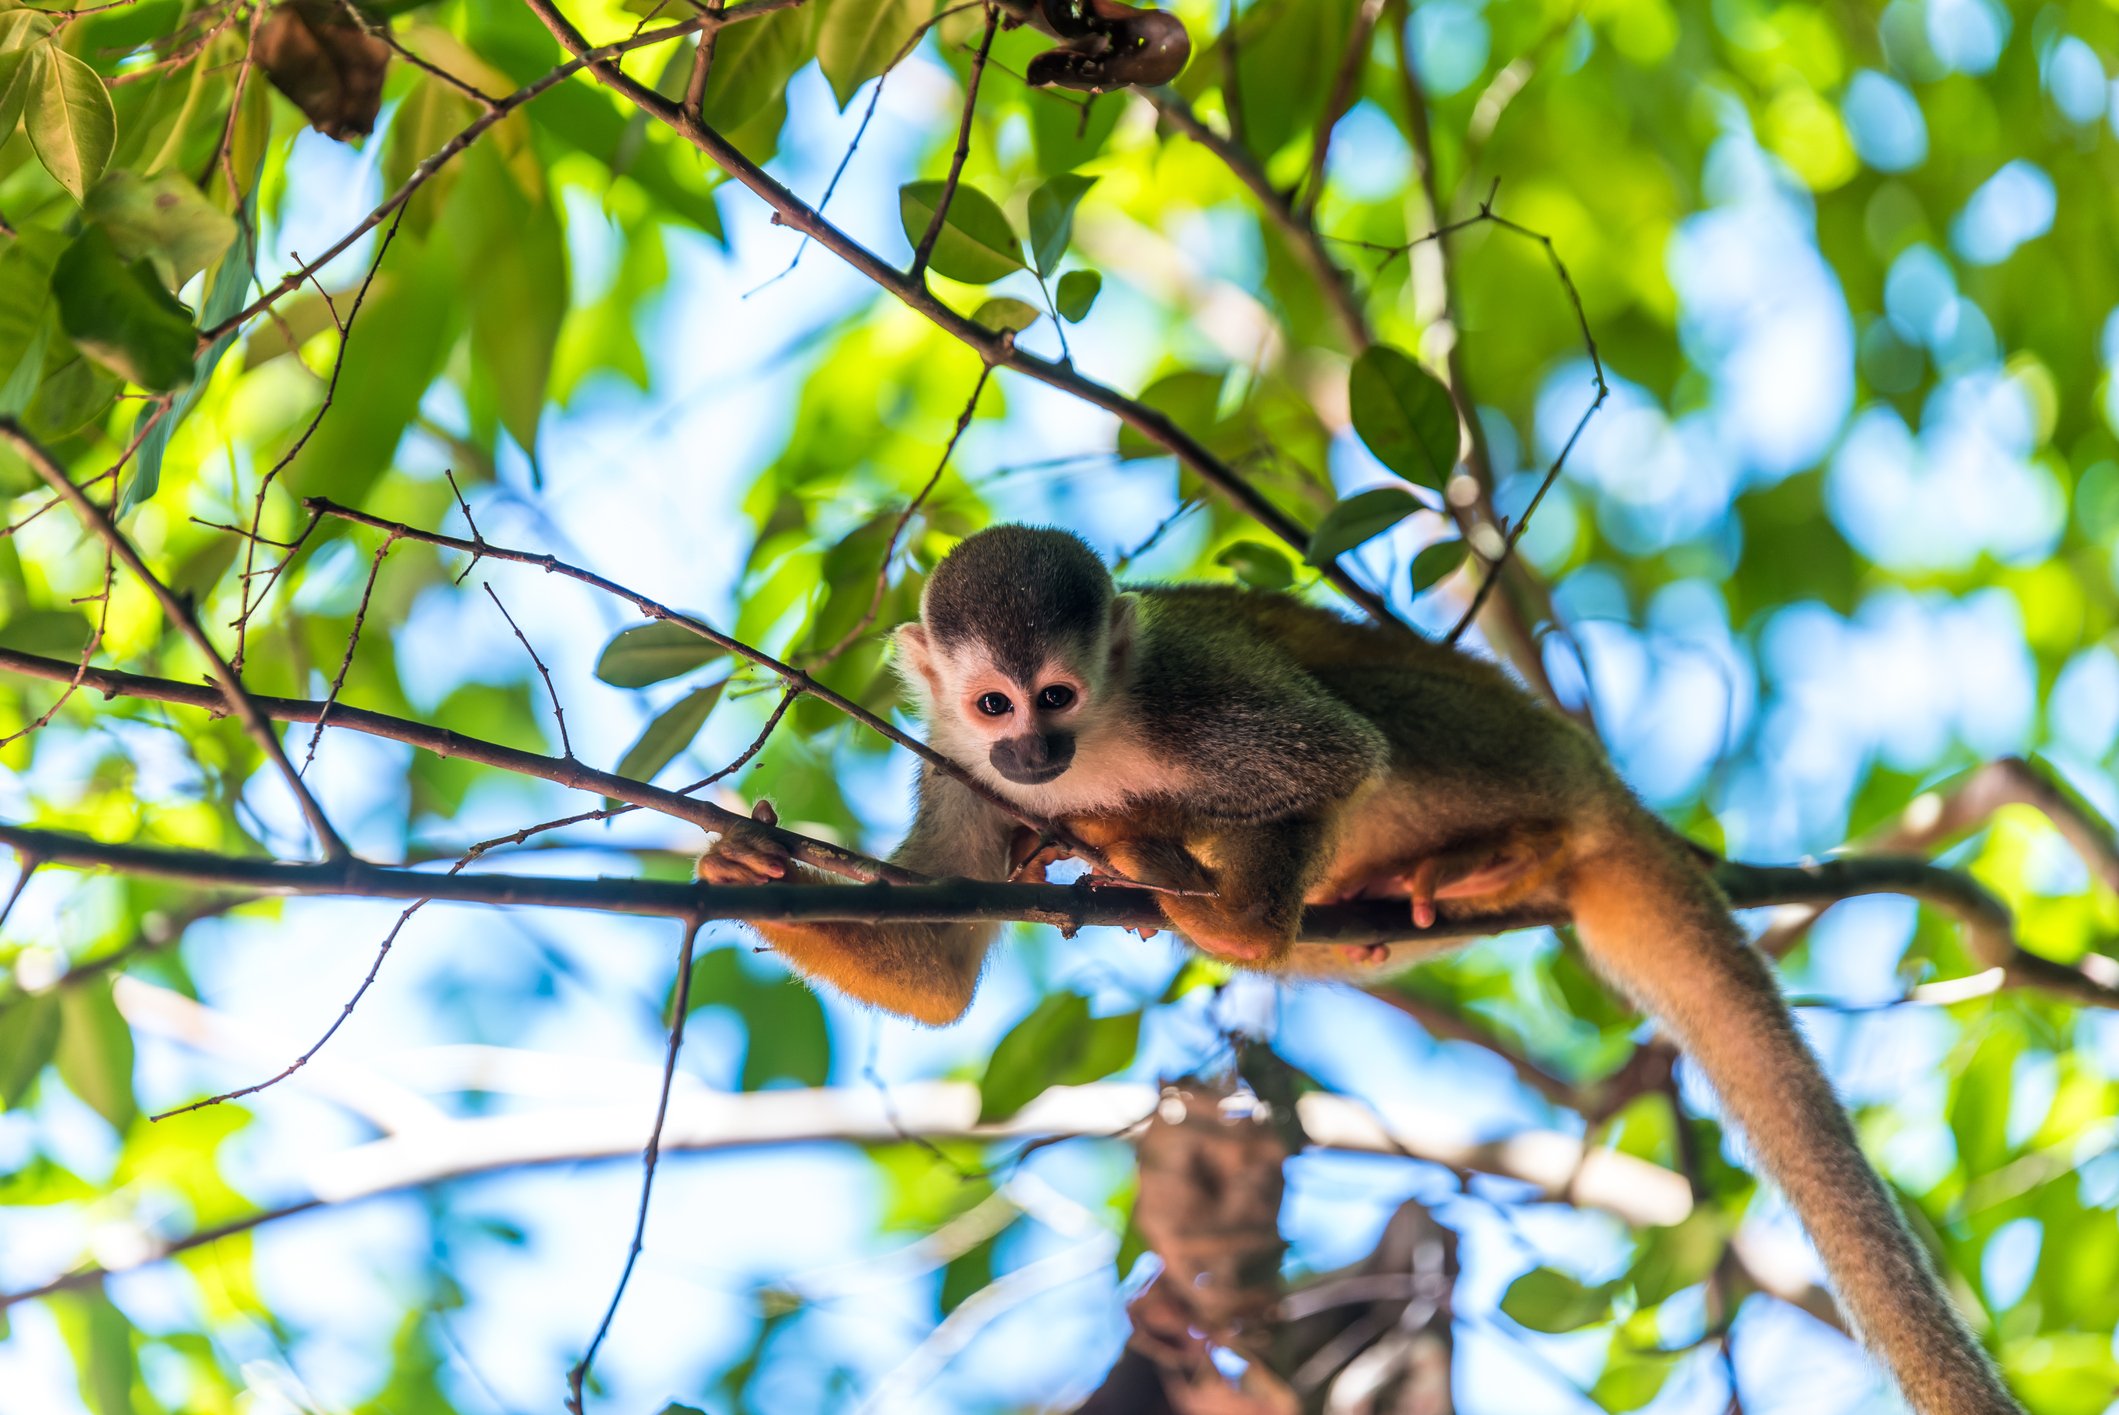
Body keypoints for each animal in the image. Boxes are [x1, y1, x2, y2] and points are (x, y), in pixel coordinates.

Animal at [698, 525, 2025, 1415]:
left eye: (1057, 692)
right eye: (990, 704)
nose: (1034, 749)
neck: (1100, 731)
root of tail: (1598, 782)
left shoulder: (1186, 687)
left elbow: (1329, 755)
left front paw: (1138, 838)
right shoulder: (954, 766)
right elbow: (937, 971)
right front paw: (752, 866)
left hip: (1513, 755)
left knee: (1361, 742)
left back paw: (1237, 906)